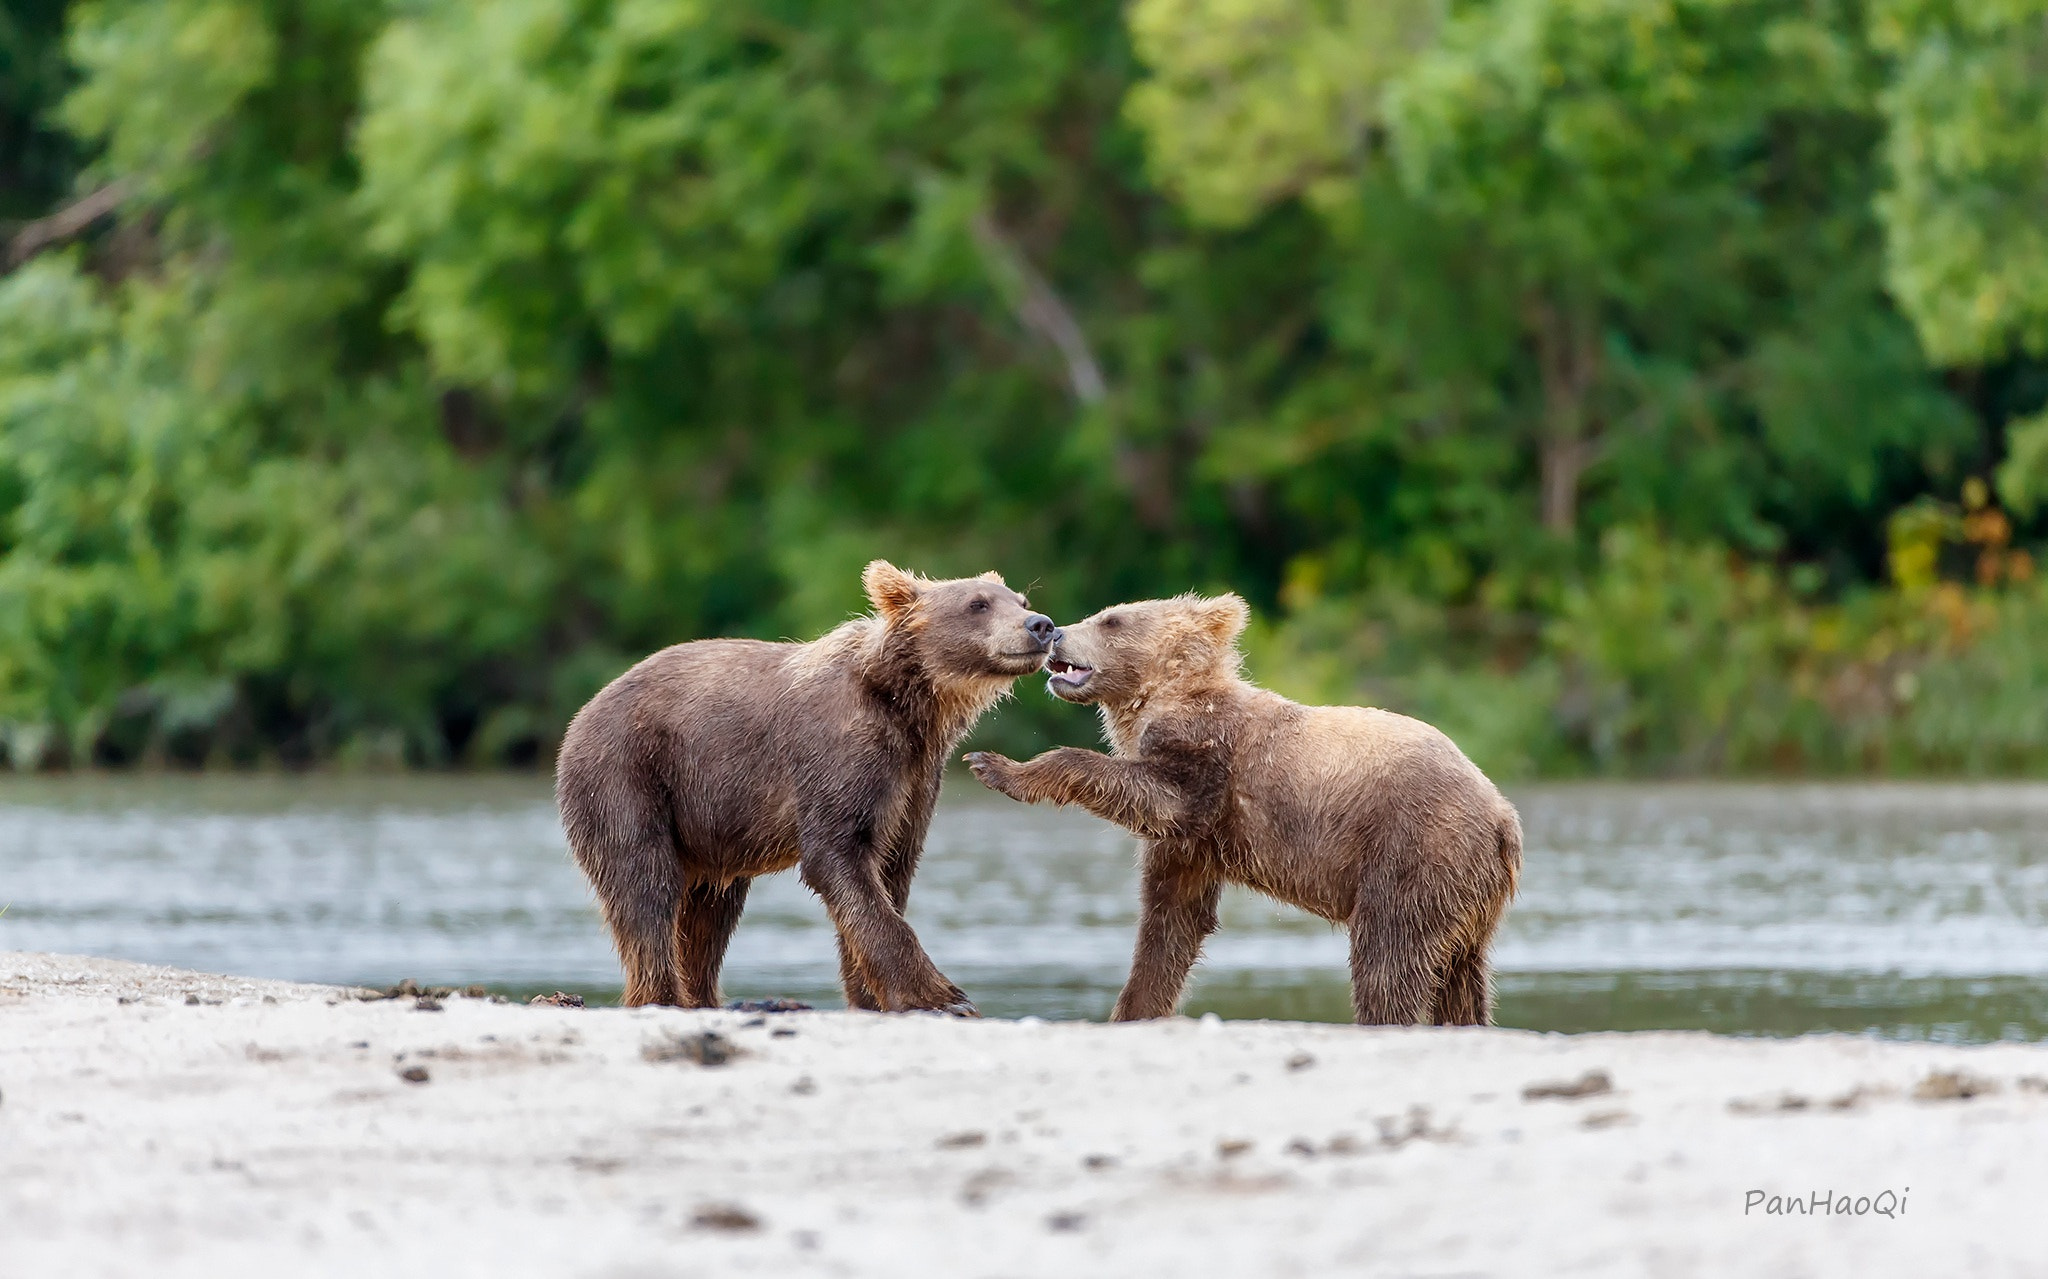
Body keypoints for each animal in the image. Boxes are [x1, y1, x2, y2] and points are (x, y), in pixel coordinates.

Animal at [561, 564, 1056, 1010]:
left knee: (708, 914)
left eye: (1021, 600)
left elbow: (891, 870)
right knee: (645, 885)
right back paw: (660, 996)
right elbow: (839, 857)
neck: (908, 706)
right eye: (977, 604)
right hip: (629, 773)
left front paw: (873, 995)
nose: (1041, 625)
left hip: (706, 825)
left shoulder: (914, 779)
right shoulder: (840, 755)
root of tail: (583, 712)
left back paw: (699, 997)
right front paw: (942, 997)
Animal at [962, 593, 1523, 1023]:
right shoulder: (1194, 846)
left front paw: (993, 765)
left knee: (1390, 957)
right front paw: (1135, 1010)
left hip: (1413, 851)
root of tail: (1503, 818)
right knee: (1461, 978)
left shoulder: (1209, 766)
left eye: (1111, 620)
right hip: (1467, 899)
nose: (1054, 631)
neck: (1159, 704)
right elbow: (1171, 922)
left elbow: (1157, 795)